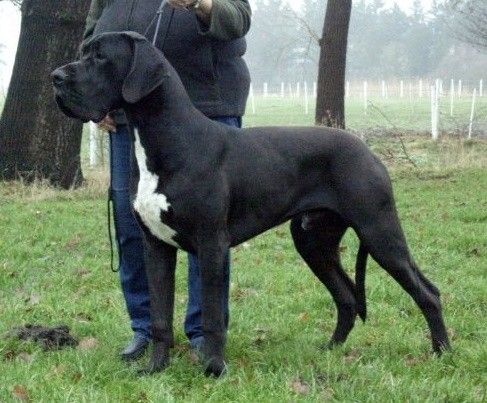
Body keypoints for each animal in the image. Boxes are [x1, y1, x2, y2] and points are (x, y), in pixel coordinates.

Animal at [52, 31, 450, 377]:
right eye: (85, 51)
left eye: (100, 57)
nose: (55, 77)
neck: (167, 142)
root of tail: (367, 149)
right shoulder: (156, 247)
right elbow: (160, 316)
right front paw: (155, 369)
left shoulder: (212, 245)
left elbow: (213, 316)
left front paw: (213, 370)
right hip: (313, 242)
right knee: (347, 297)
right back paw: (331, 350)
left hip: (379, 231)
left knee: (428, 292)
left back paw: (442, 353)